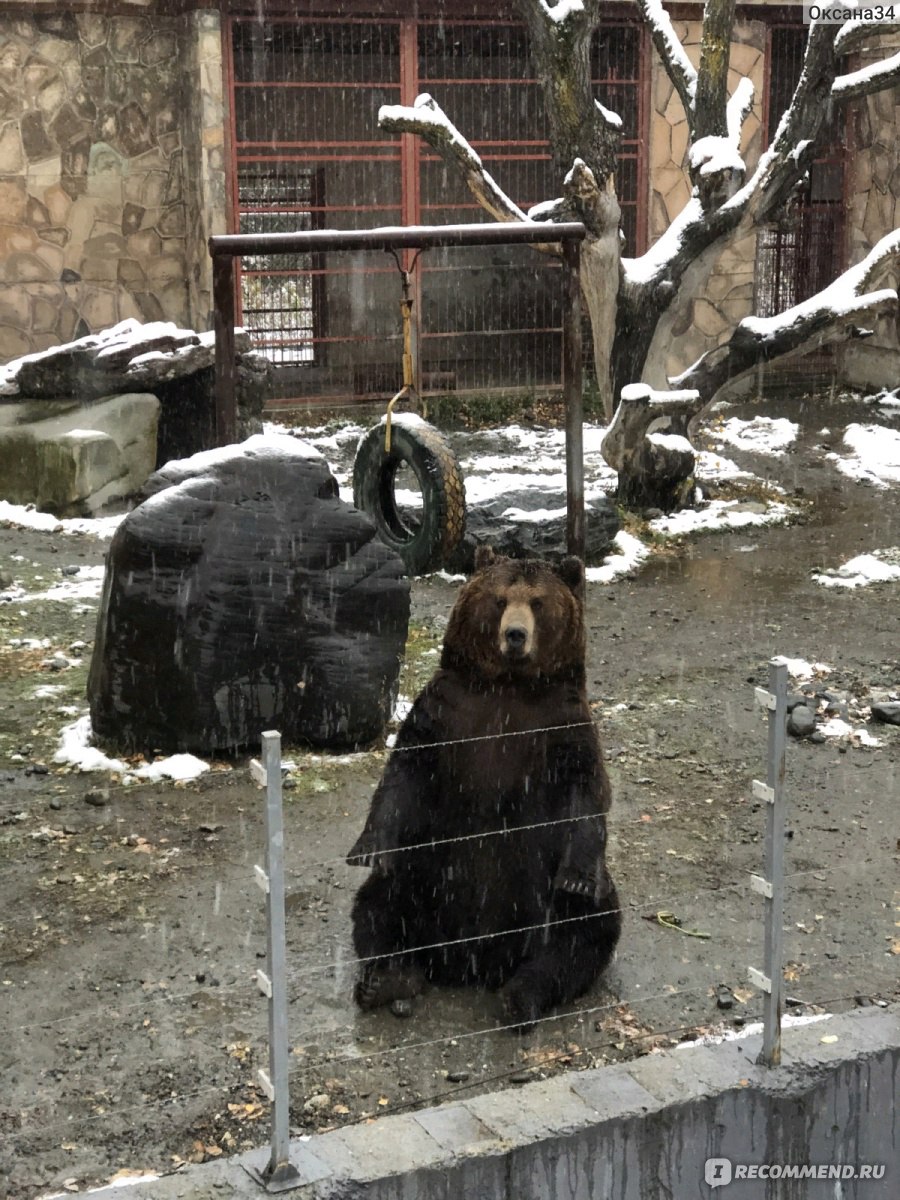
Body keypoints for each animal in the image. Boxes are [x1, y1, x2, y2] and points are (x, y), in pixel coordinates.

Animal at [348, 549, 624, 1027]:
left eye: (537, 602)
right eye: (499, 600)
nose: (515, 635)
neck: (508, 685)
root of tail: (471, 964)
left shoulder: (562, 724)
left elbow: (587, 790)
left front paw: (577, 878)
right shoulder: (446, 712)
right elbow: (405, 773)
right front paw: (369, 848)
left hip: (543, 902)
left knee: (586, 929)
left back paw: (521, 997)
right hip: (427, 870)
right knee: (381, 903)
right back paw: (387, 980)